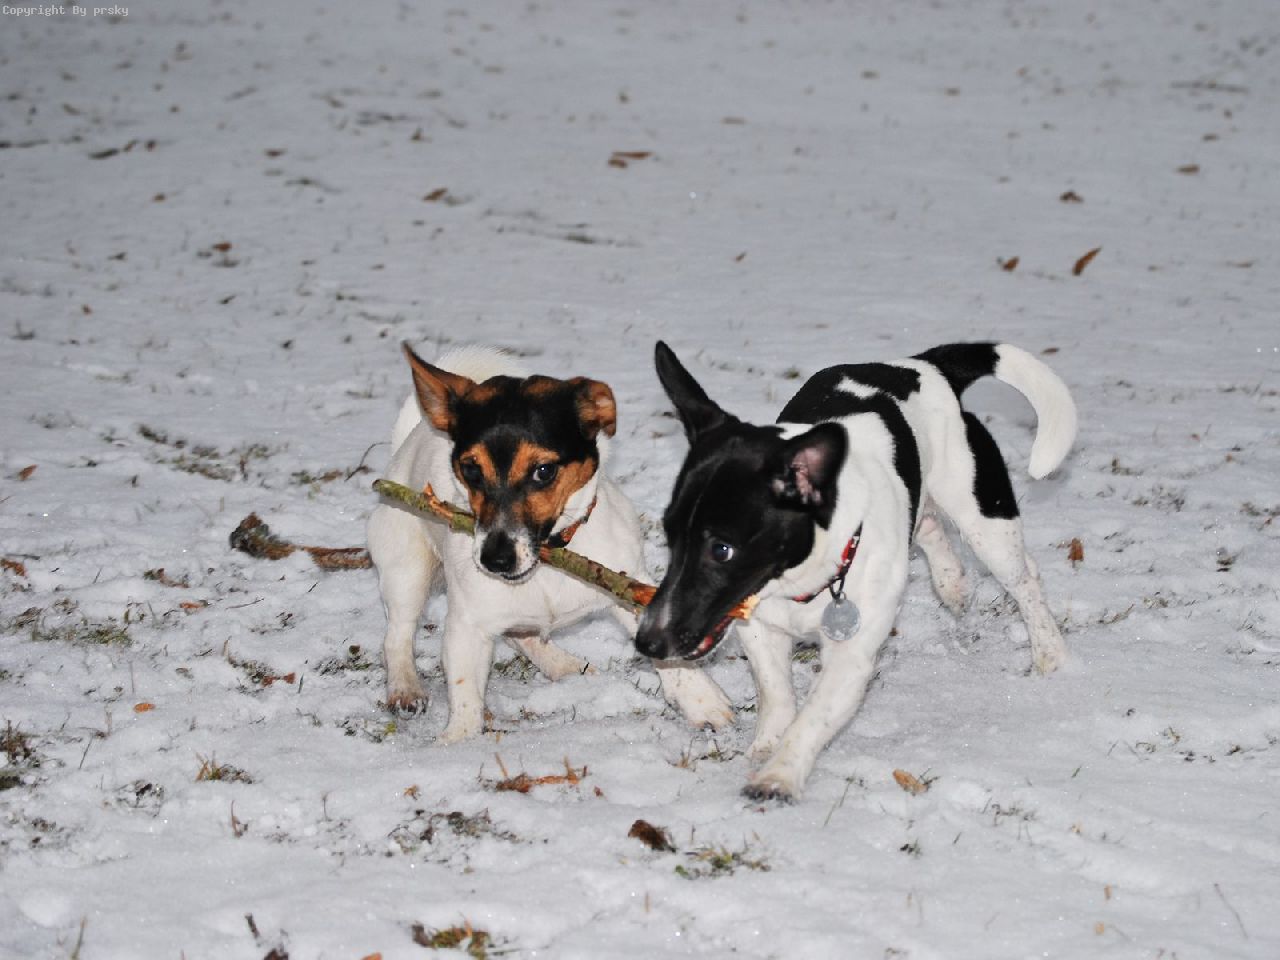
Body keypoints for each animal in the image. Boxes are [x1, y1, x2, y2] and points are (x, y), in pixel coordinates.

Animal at [366, 343, 732, 743]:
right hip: (407, 570)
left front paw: (702, 701)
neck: (550, 557)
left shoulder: (627, 584)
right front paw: (459, 742)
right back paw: (405, 688)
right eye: (471, 469)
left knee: (520, 635)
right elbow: (465, 697)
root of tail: (410, 438)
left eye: (544, 471)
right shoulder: (467, 627)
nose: (495, 559)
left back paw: (563, 665)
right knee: (398, 635)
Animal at [635, 341, 1077, 801]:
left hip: (983, 518)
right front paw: (768, 745)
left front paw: (780, 774)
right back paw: (951, 581)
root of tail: (923, 366)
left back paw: (1049, 653)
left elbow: (815, 713)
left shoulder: (851, 656)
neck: (803, 577)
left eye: (721, 550)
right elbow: (776, 692)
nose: (647, 642)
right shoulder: (760, 627)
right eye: (669, 534)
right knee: (929, 526)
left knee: (1024, 578)